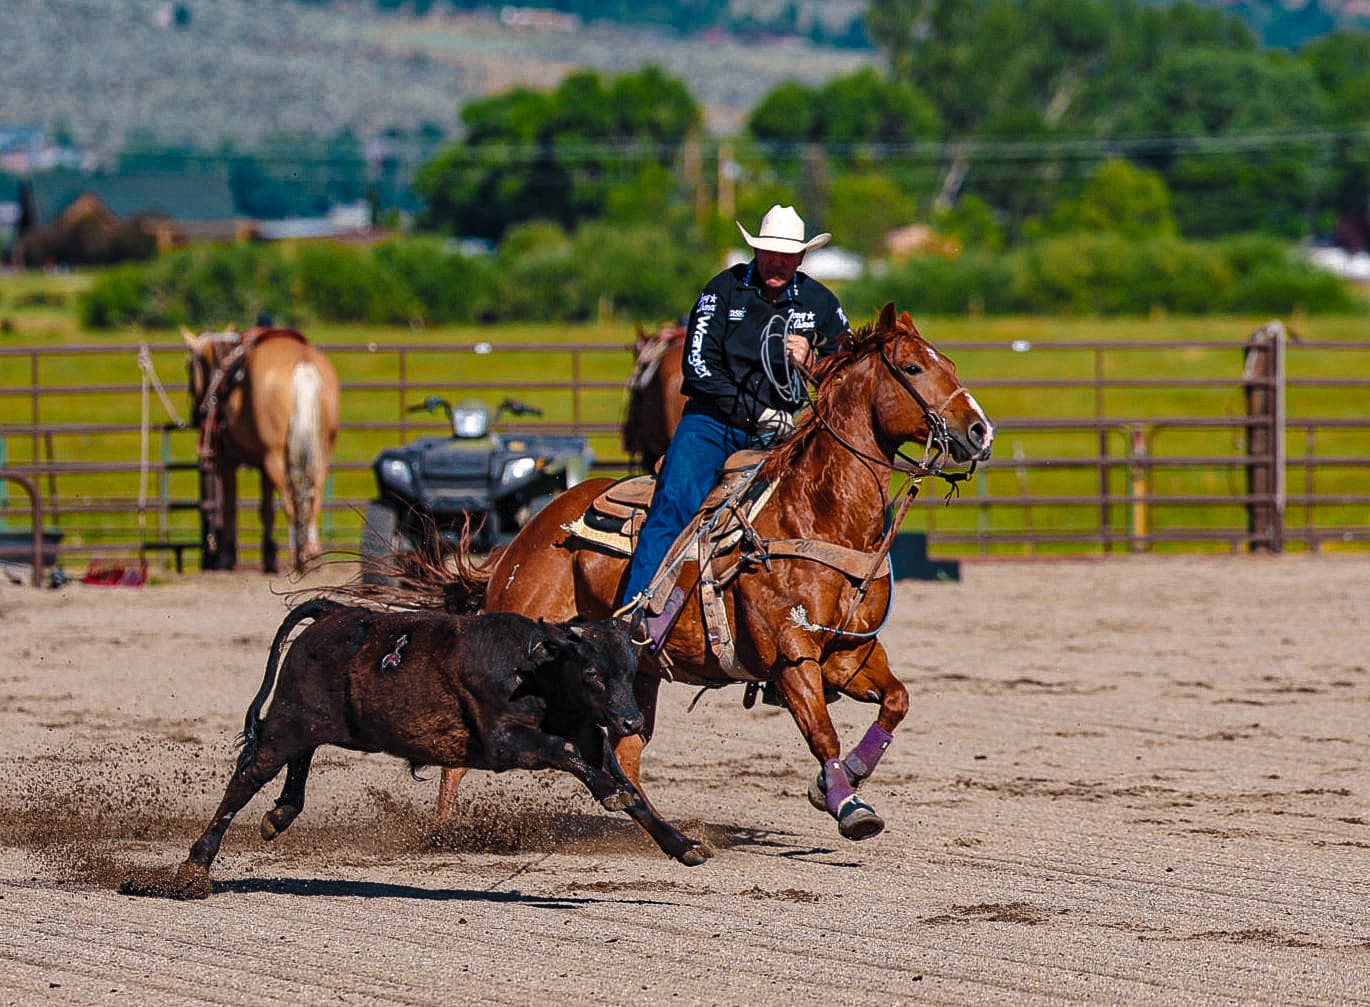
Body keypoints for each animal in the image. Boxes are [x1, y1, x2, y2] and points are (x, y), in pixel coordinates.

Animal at [182, 326, 340, 574]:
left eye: (189, 366)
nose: (197, 414)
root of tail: (303, 366)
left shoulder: (228, 462)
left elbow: (230, 507)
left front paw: (227, 558)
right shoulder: (263, 467)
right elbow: (266, 510)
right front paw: (269, 556)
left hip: (275, 456)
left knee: (290, 500)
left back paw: (298, 557)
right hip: (321, 453)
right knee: (313, 497)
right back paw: (313, 555)